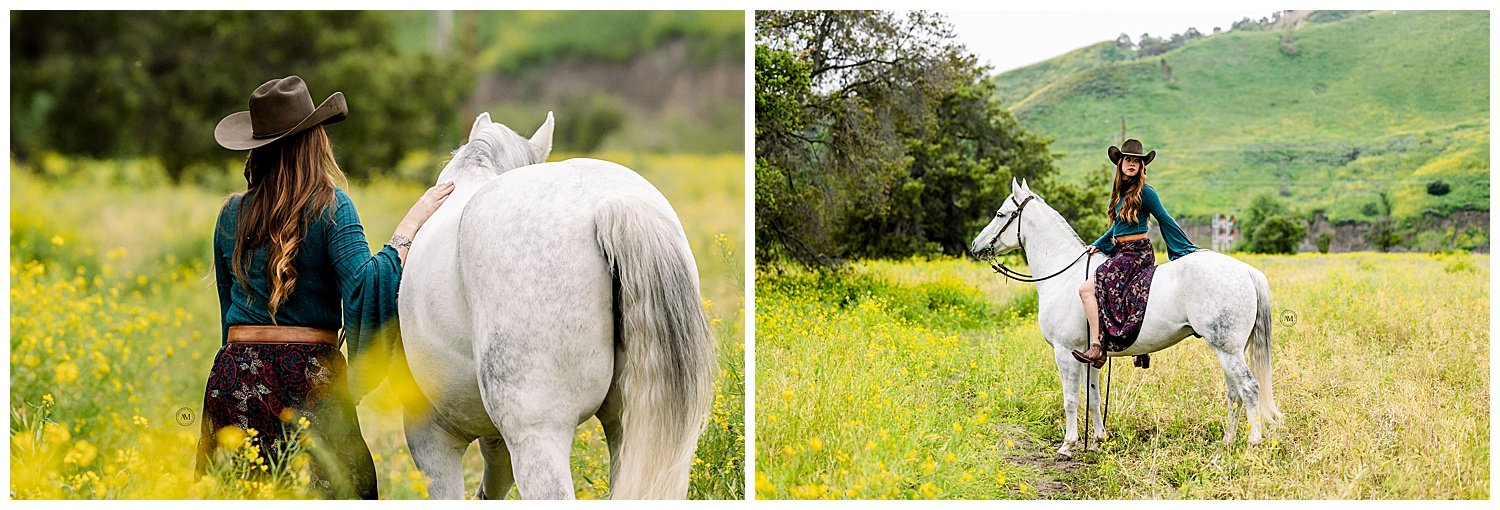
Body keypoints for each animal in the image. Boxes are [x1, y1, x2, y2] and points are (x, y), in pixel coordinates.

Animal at [972, 179, 1278, 459]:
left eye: (1000, 214)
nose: (975, 245)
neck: (1064, 275)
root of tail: (1246, 271)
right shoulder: (1089, 356)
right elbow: (1093, 398)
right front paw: (1097, 441)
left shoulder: (1064, 352)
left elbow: (1071, 399)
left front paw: (1068, 446)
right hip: (1228, 351)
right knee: (1234, 394)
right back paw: (1227, 443)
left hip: (1227, 350)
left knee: (1249, 389)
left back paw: (1252, 444)